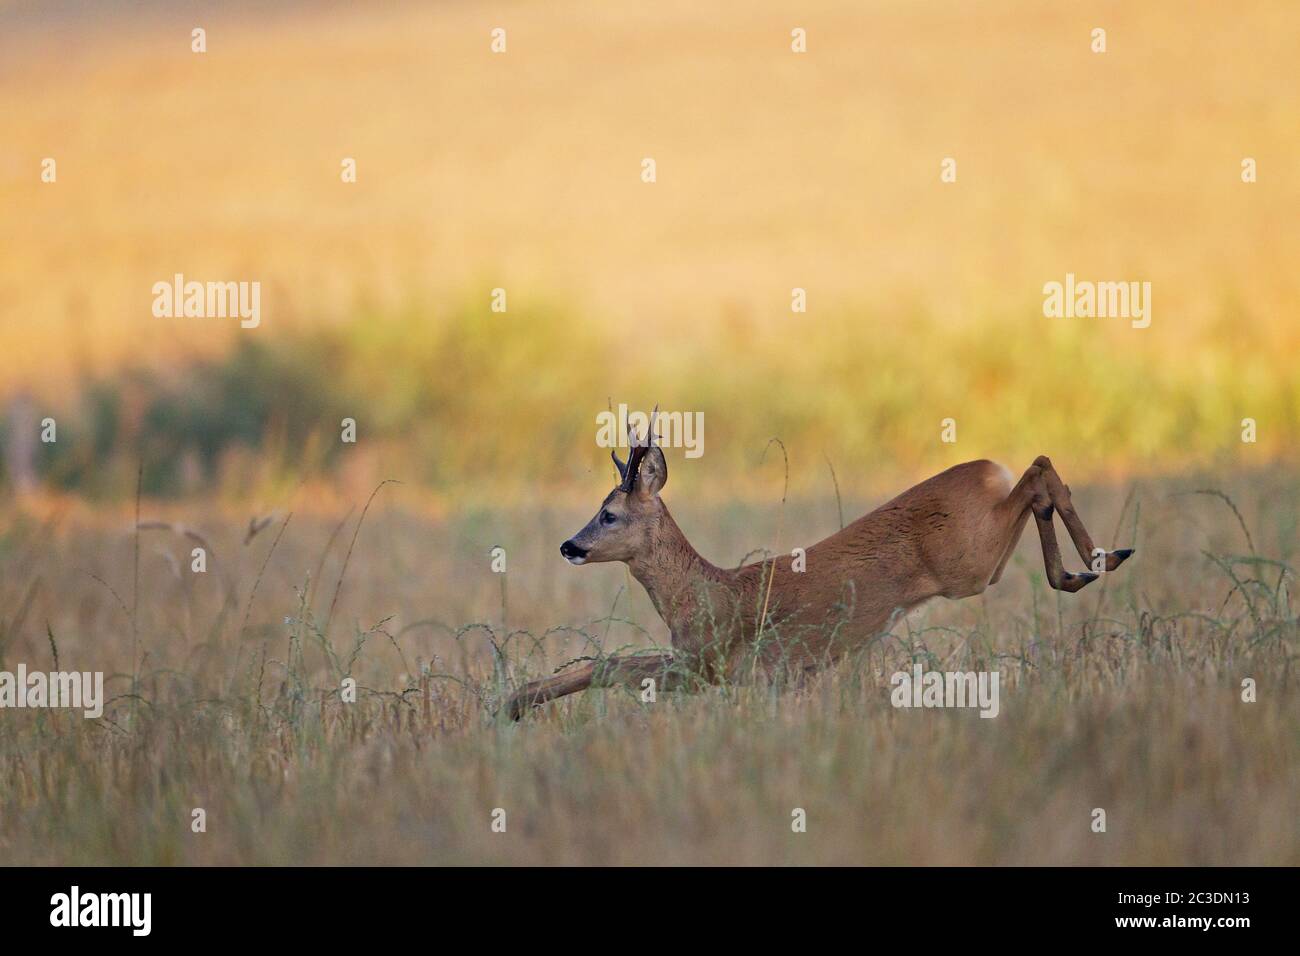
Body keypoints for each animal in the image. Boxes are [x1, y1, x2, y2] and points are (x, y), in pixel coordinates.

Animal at [501, 408, 1133, 717]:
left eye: (608, 514)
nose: (570, 545)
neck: (703, 593)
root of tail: (987, 469)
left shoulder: (714, 665)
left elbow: (614, 664)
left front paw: (511, 704)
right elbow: (615, 663)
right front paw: (514, 701)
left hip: (968, 563)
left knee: (1038, 472)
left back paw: (1096, 560)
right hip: (980, 562)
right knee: (1041, 473)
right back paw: (1093, 564)